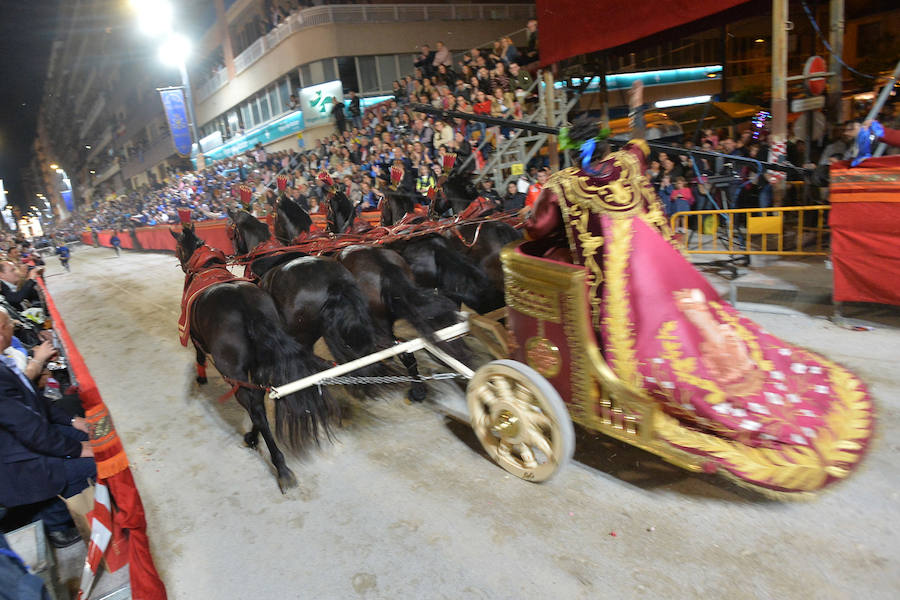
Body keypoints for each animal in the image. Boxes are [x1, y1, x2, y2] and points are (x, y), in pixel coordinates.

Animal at [171, 225, 336, 492]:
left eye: (177, 247)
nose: (181, 262)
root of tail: (247, 308)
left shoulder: (195, 338)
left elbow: (199, 355)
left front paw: (201, 376)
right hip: (259, 365)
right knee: (258, 401)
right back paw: (256, 440)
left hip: (234, 372)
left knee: (255, 408)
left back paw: (280, 465)